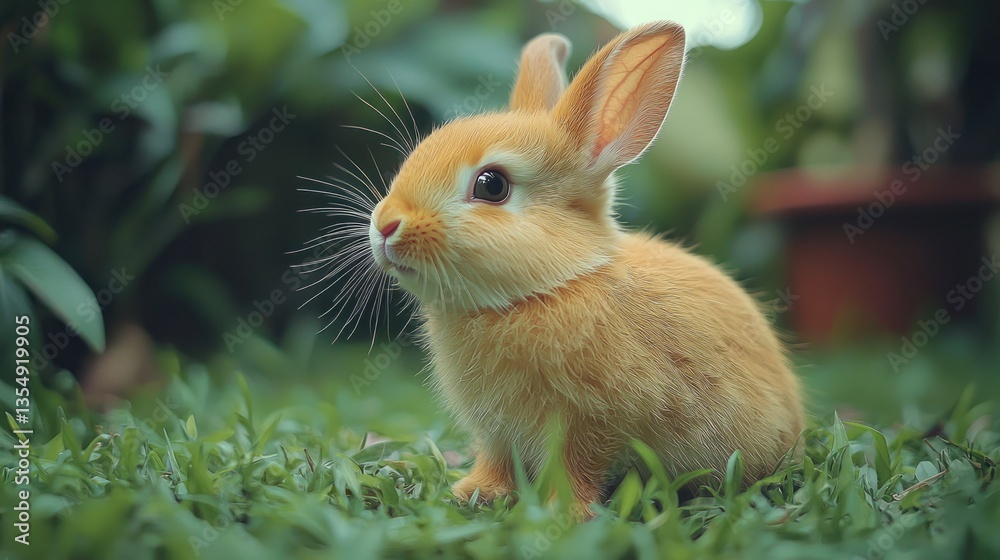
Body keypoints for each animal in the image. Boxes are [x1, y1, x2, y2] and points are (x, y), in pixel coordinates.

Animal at [365, 21, 804, 518]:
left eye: (491, 185)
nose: (386, 225)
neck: (547, 289)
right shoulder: (497, 431)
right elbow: (497, 460)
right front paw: (474, 492)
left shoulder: (591, 424)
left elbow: (575, 466)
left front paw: (565, 512)